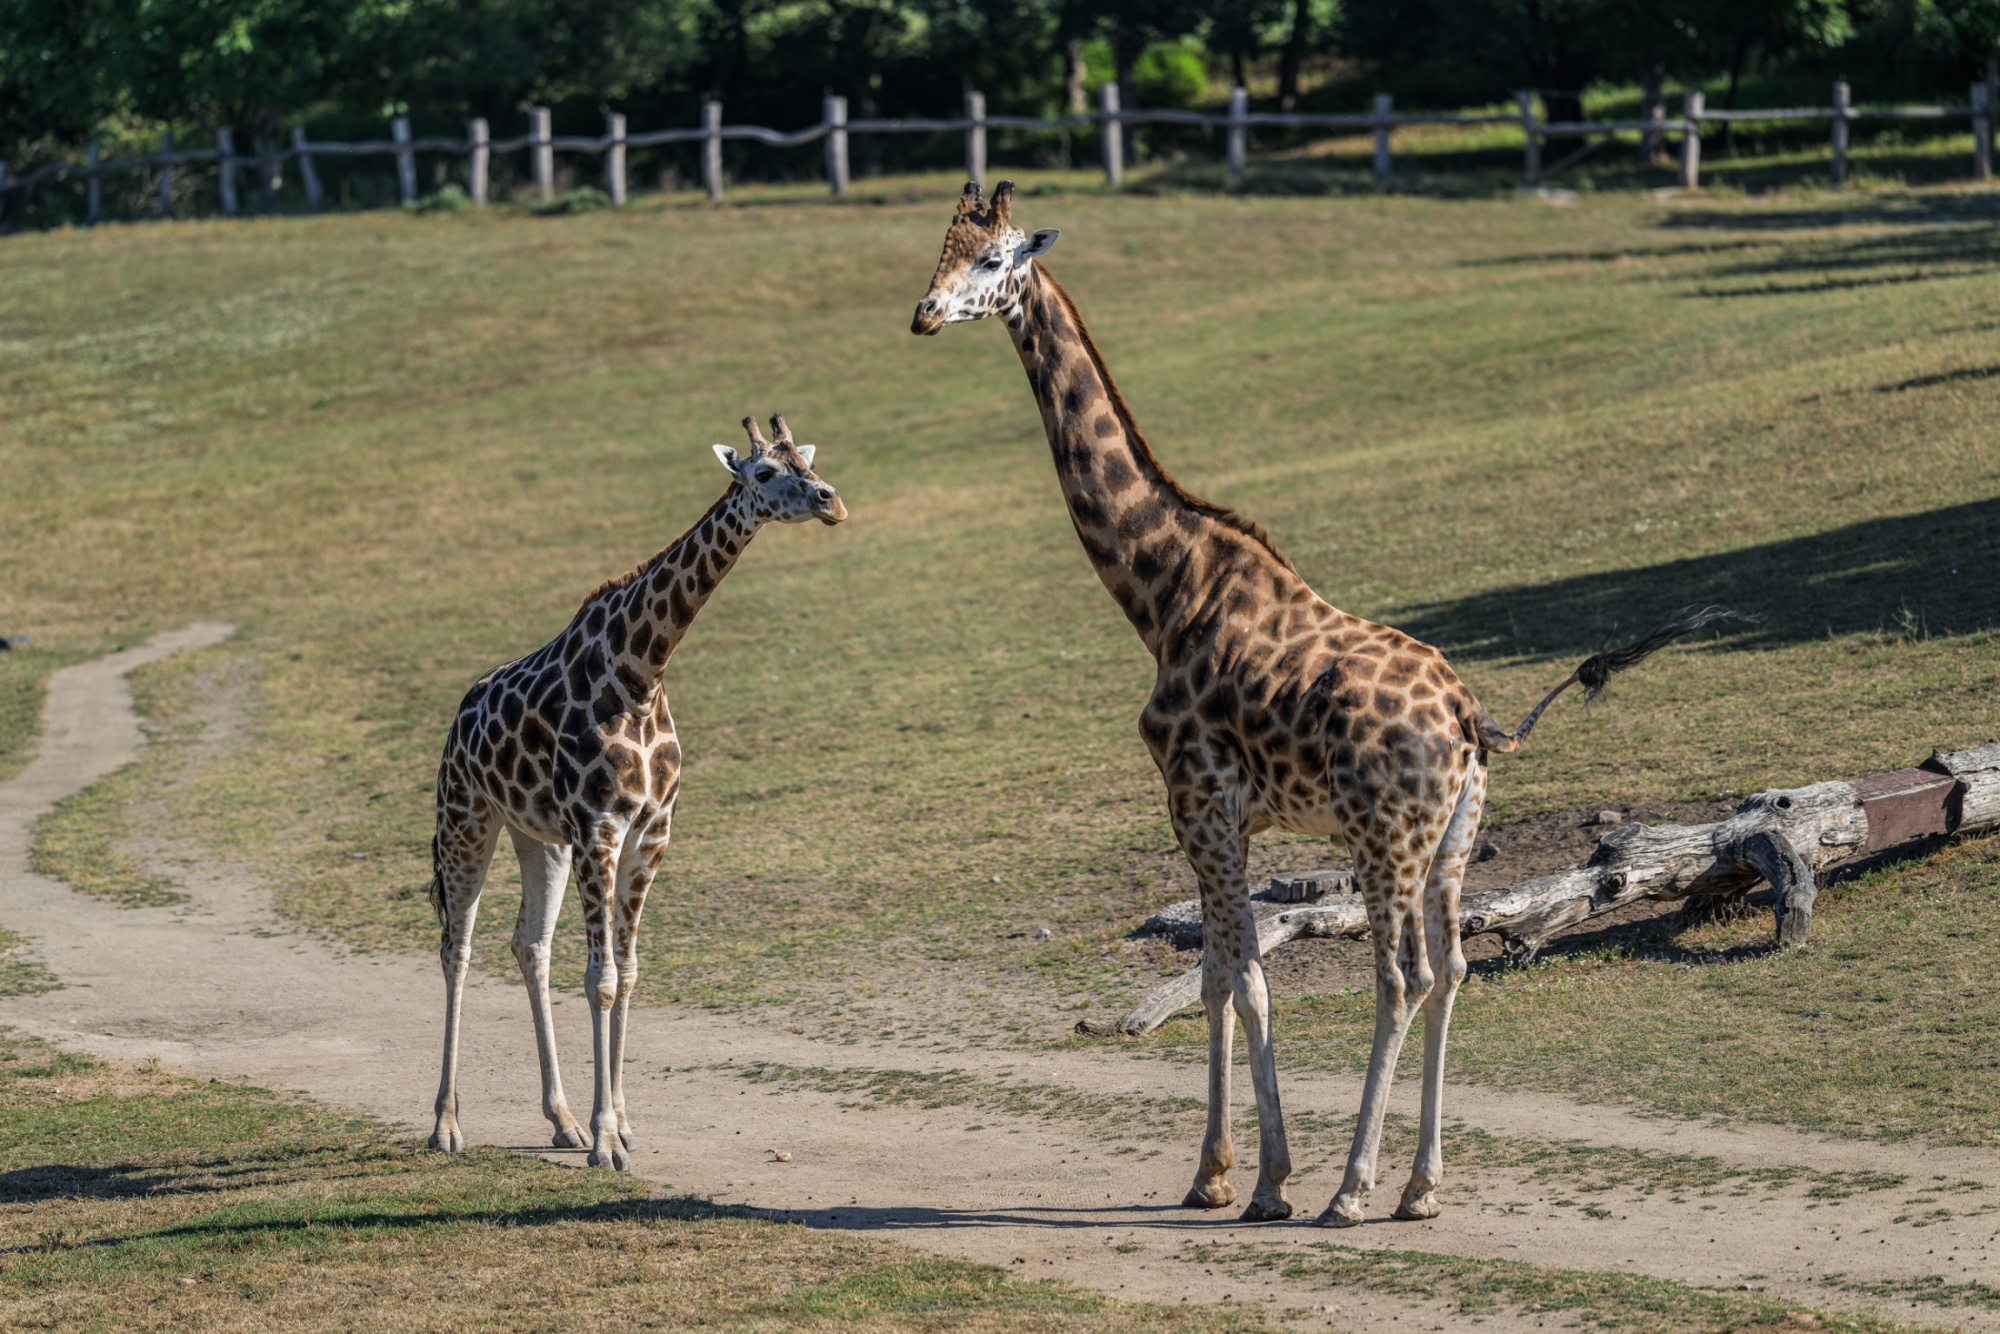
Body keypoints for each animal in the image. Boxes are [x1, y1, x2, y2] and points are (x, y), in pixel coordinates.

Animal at [427, 415, 847, 1171]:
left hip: (537, 838)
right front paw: (606, 1145)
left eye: (806, 459)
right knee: (458, 948)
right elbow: (599, 978)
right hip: (466, 819)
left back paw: (560, 1119)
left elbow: (627, 972)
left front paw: (617, 1127)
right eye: (764, 473)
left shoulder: (651, 830)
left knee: (529, 945)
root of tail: (460, 715)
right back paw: (446, 1126)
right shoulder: (600, 826)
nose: (832, 501)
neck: (643, 669)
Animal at [912, 181, 1740, 1225]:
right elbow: (1218, 976)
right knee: (1455, 967)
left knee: (1400, 976)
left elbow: (1246, 981)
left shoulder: (1198, 805)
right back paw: (1421, 1185)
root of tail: (1469, 721)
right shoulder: (1226, 817)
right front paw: (1214, 1173)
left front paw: (1264, 1178)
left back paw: (1352, 1187)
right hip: (1454, 838)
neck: (1161, 591)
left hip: (1386, 838)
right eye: (938, 250)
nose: (921, 314)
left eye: (992, 260)